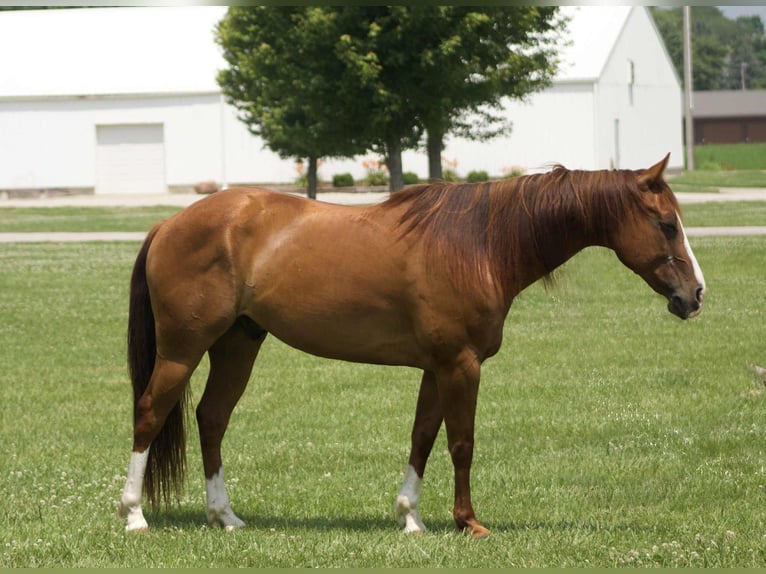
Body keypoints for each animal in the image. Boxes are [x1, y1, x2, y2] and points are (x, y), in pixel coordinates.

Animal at [118, 154, 705, 538]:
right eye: (666, 225)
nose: (695, 295)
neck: (479, 244)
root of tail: (169, 222)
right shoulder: (462, 366)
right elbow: (462, 443)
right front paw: (469, 523)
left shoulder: (436, 368)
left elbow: (422, 437)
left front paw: (410, 517)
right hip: (182, 350)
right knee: (149, 413)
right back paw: (135, 515)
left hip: (238, 344)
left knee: (212, 418)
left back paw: (226, 517)